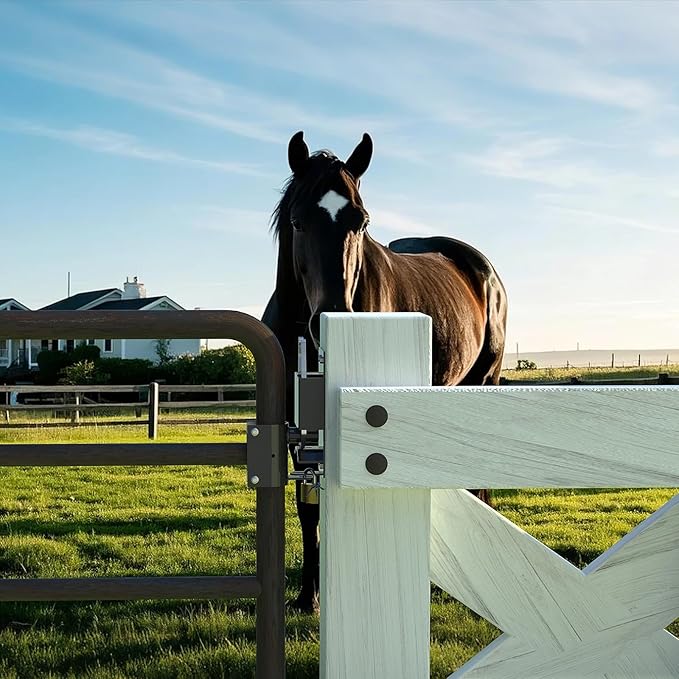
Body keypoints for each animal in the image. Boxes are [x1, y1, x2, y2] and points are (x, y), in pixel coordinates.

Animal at [262, 131, 508, 612]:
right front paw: (308, 596)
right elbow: (309, 509)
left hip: (481, 381)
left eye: (361, 221)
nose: (334, 317)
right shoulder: (296, 428)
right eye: (298, 222)